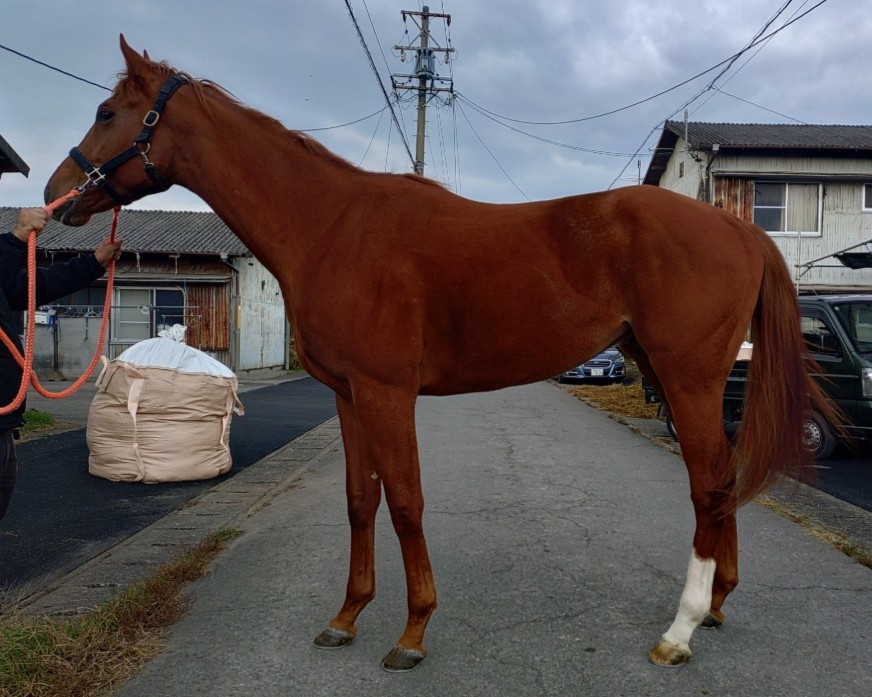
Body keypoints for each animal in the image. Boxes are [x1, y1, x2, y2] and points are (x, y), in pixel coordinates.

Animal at [45, 36, 834, 672]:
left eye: (108, 112)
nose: (58, 194)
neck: (331, 226)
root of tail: (741, 230)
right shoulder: (348, 393)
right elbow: (360, 500)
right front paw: (345, 617)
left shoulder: (387, 390)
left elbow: (406, 501)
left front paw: (413, 631)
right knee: (721, 479)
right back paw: (719, 603)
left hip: (688, 376)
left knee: (708, 483)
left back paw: (682, 629)